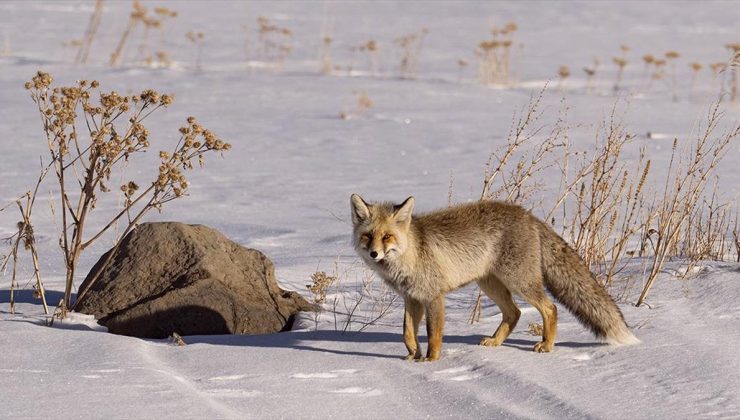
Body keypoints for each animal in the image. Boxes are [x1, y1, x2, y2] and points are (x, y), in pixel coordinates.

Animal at [350, 194, 640, 360]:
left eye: (387, 237)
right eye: (368, 236)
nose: (374, 253)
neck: (410, 253)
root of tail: (529, 215)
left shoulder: (433, 297)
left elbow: (433, 335)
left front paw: (431, 361)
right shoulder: (411, 298)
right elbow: (407, 333)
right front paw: (412, 357)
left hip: (519, 282)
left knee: (550, 308)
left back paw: (546, 346)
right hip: (491, 285)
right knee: (514, 313)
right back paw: (496, 341)